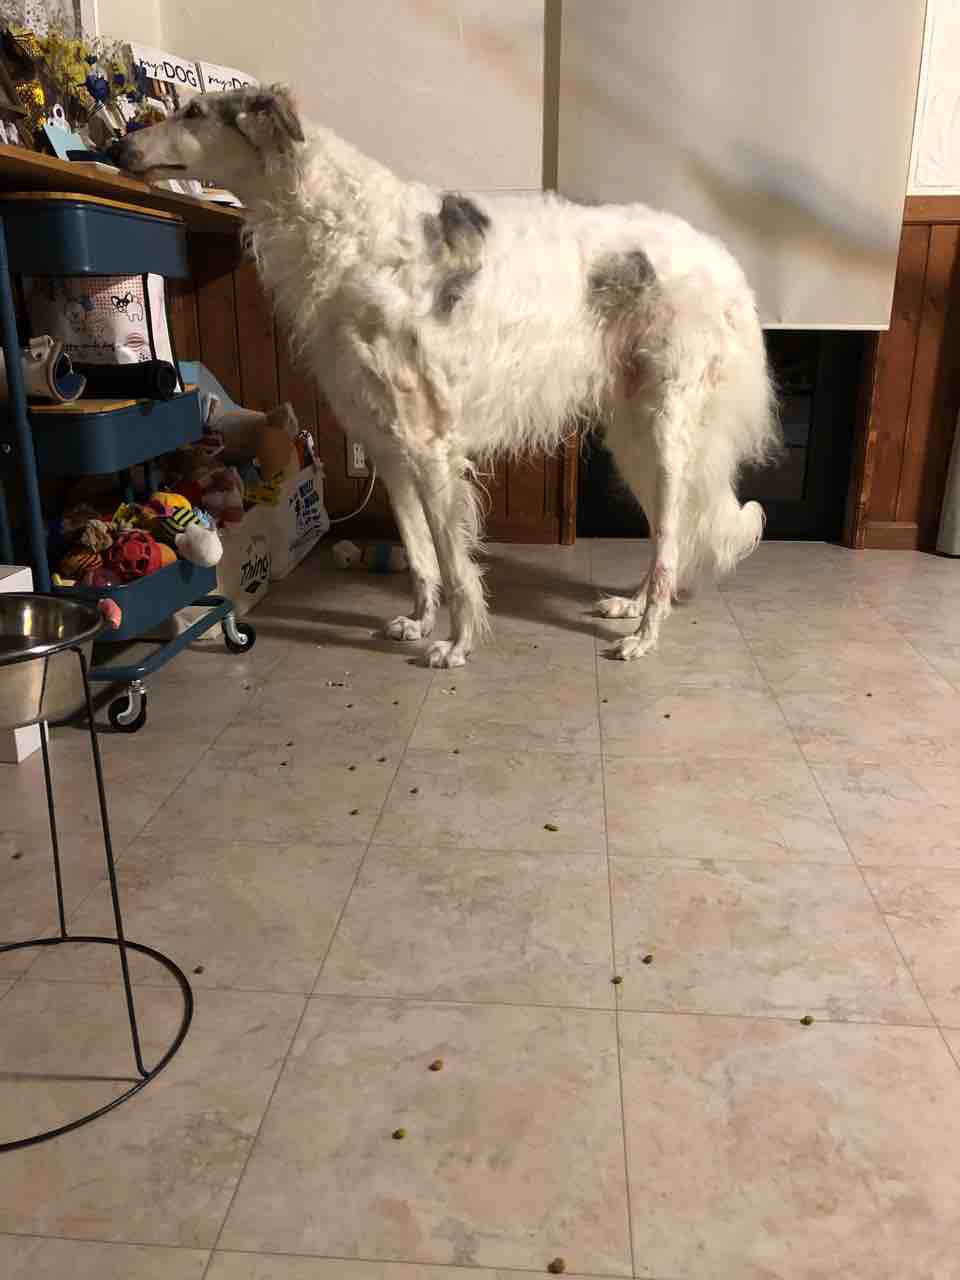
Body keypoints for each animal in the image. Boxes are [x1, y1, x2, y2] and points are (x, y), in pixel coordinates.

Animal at [111, 85, 780, 667]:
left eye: (193, 112)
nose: (118, 150)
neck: (344, 229)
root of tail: (729, 263)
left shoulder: (430, 444)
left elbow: (456, 566)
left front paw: (456, 645)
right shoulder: (385, 443)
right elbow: (418, 556)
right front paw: (417, 622)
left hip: (664, 432)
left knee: (668, 543)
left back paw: (644, 636)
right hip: (632, 434)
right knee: (668, 536)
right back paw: (633, 607)